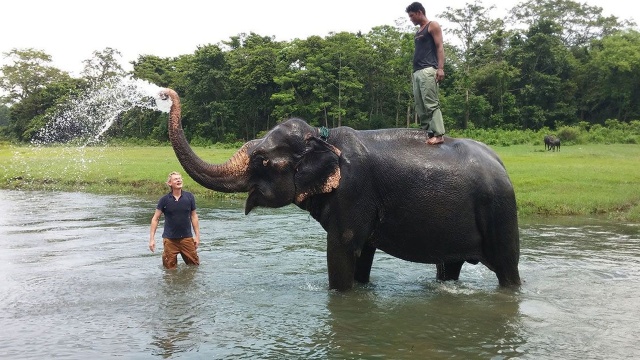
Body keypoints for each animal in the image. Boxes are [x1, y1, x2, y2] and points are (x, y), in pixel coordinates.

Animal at [159, 88, 520, 292]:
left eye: (262, 160)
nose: (164, 93)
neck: (324, 137)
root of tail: (502, 165)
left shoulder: (354, 191)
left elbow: (343, 248)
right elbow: (363, 254)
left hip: (500, 212)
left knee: (507, 267)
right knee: (450, 267)